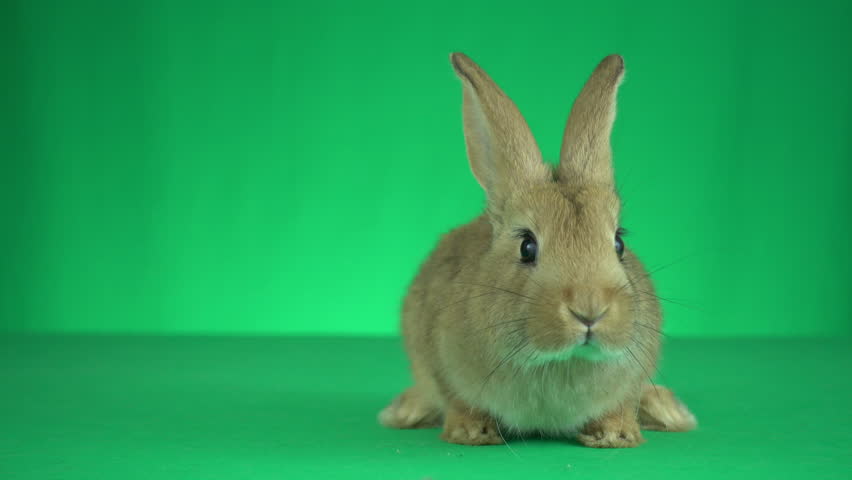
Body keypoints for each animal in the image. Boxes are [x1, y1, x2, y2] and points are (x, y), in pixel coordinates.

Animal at [379, 53, 696, 447]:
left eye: (619, 242)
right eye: (526, 246)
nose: (589, 310)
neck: (559, 361)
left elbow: (621, 404)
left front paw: (615, 436)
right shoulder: (440, 362)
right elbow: (458, 401)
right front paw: (472, 433)